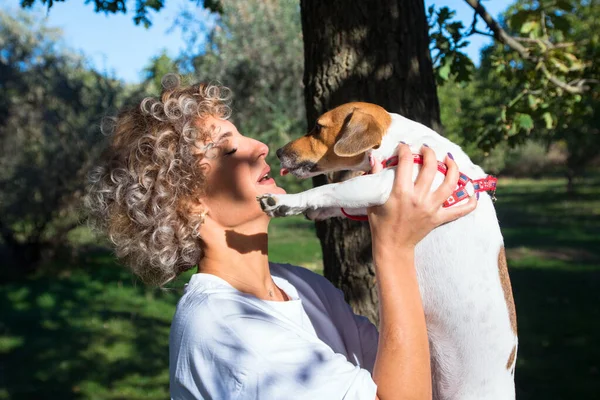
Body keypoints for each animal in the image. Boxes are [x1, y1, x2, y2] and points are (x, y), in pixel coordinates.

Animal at [256, 102, 516, 400]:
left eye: (318, 128)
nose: (278, 152)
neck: (405, 143)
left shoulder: (382, 184)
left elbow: (330, 188)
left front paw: (285, 201)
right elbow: (337, 200)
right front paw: (312, 210)